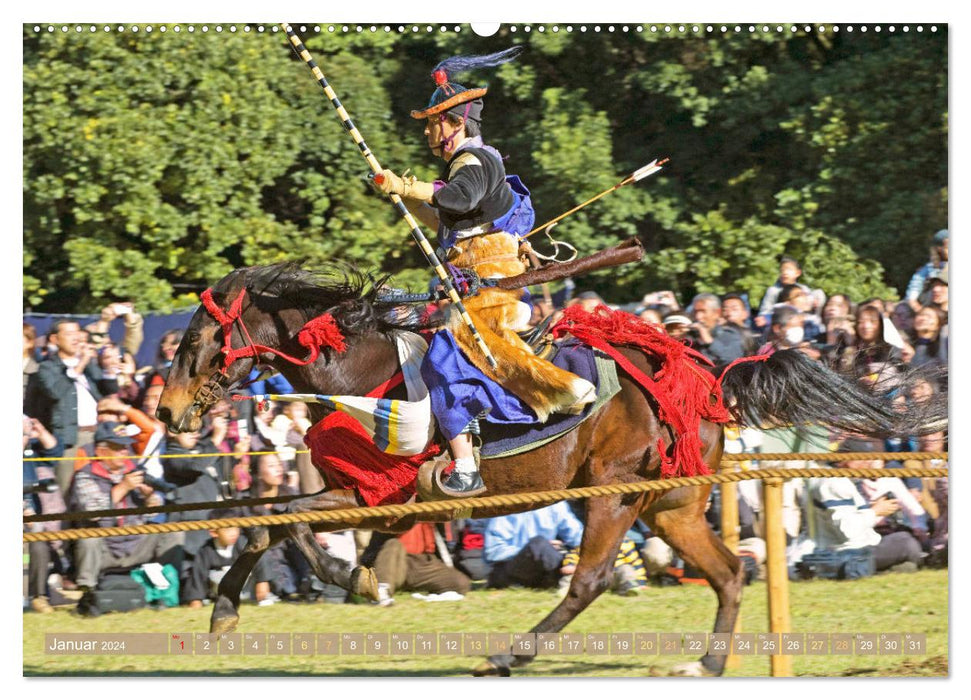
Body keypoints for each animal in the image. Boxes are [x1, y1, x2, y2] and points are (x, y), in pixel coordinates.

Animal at [158, 262, 936, 680]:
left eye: (195, 341)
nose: (167, 412)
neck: (362, 373)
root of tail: (706, 381)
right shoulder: (372, 492)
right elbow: (273, 521)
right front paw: (237, 606)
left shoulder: (380, 490)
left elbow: (285, 519)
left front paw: (336, 579)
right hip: (670, 505)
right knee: (727, 571)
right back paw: (708, 664)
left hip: (614, 494)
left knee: (589, 578)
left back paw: (510, 656)